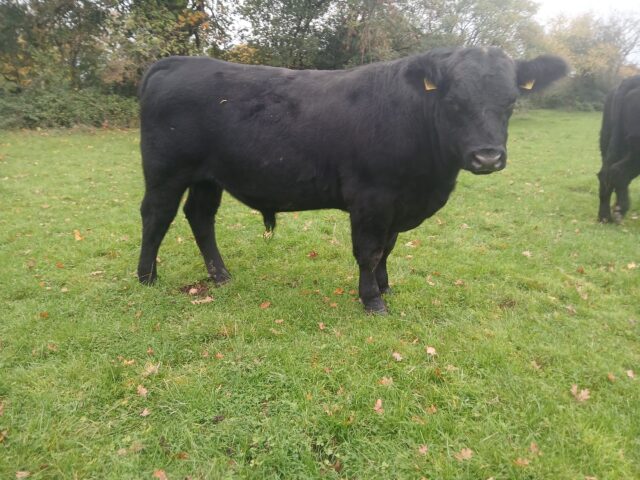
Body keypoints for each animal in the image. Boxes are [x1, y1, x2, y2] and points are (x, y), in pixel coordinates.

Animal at [136, 47, 567, 314]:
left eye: (511, 100)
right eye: (453, 101)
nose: (487, 156)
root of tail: (174, 63)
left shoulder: (397, 204)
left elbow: (388, 249)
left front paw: (385, 285)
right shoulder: (371, 198)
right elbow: (370, 251)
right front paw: (372, 299)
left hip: (208, 177)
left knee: (200, 216)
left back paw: (221, 276)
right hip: (166, 171)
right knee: (156, 216)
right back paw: (146, 277)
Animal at [597, 75, 640, 223]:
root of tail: (632, 80)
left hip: (607, 137)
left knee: (605, 173)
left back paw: (605, 216)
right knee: (618, 171)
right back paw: (619, 210)